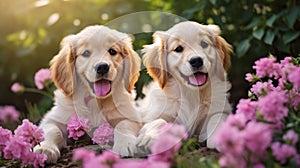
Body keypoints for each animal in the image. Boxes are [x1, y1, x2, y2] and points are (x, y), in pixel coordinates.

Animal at [33, 25, 144, 163]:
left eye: (112, 51)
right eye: (86, 53)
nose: (102, 67)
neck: (95, 101)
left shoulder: (131, 115)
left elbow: (123, 125)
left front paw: (126, 144)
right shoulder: (54, 118)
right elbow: (52, 130)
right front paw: (45, 149)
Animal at [138, 20, 232, 150]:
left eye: (204, 44)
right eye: (178, 49)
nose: (196, 60)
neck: (191, 93)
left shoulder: (220, 108)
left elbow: (217, 116)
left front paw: (222, 136)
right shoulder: (155, 114)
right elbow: (158, 121)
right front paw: (150, 137)